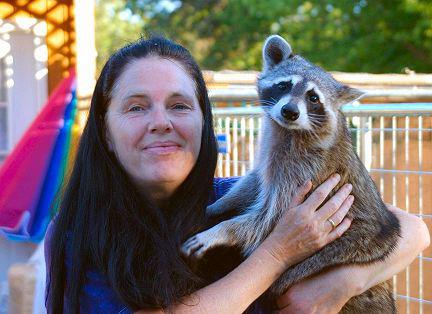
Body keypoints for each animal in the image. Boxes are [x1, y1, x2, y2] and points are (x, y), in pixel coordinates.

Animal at [181, 35, 400, 312]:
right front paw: (220, 204)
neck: (288, 130)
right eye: (284, 85)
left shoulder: (307, 171)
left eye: (313, 98)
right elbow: (254, 182)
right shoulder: (272, 155)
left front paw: (222, 230)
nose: (290, 111)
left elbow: (269, 220)